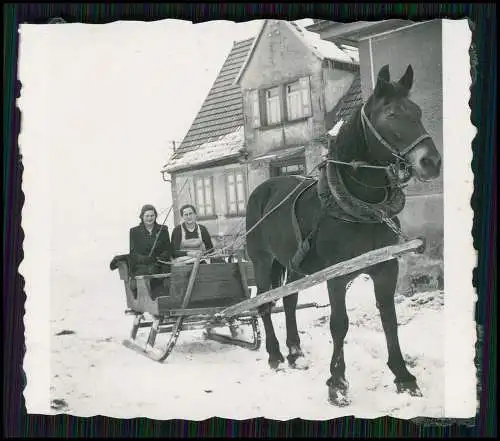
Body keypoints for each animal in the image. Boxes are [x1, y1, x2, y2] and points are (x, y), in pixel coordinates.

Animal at [246, 65, 442, 406]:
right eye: (391, 114)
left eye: (417, 111)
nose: (431, 162)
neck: (360, 206)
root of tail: (262, 190)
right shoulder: (336, 275)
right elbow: (339, 324)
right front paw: (337, 383)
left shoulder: (386, 268)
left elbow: (389, 319)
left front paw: (403, 376)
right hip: (262, 261)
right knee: (265, 304)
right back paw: (274, 355)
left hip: (293, 265)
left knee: (289, 301)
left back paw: (295, 352)